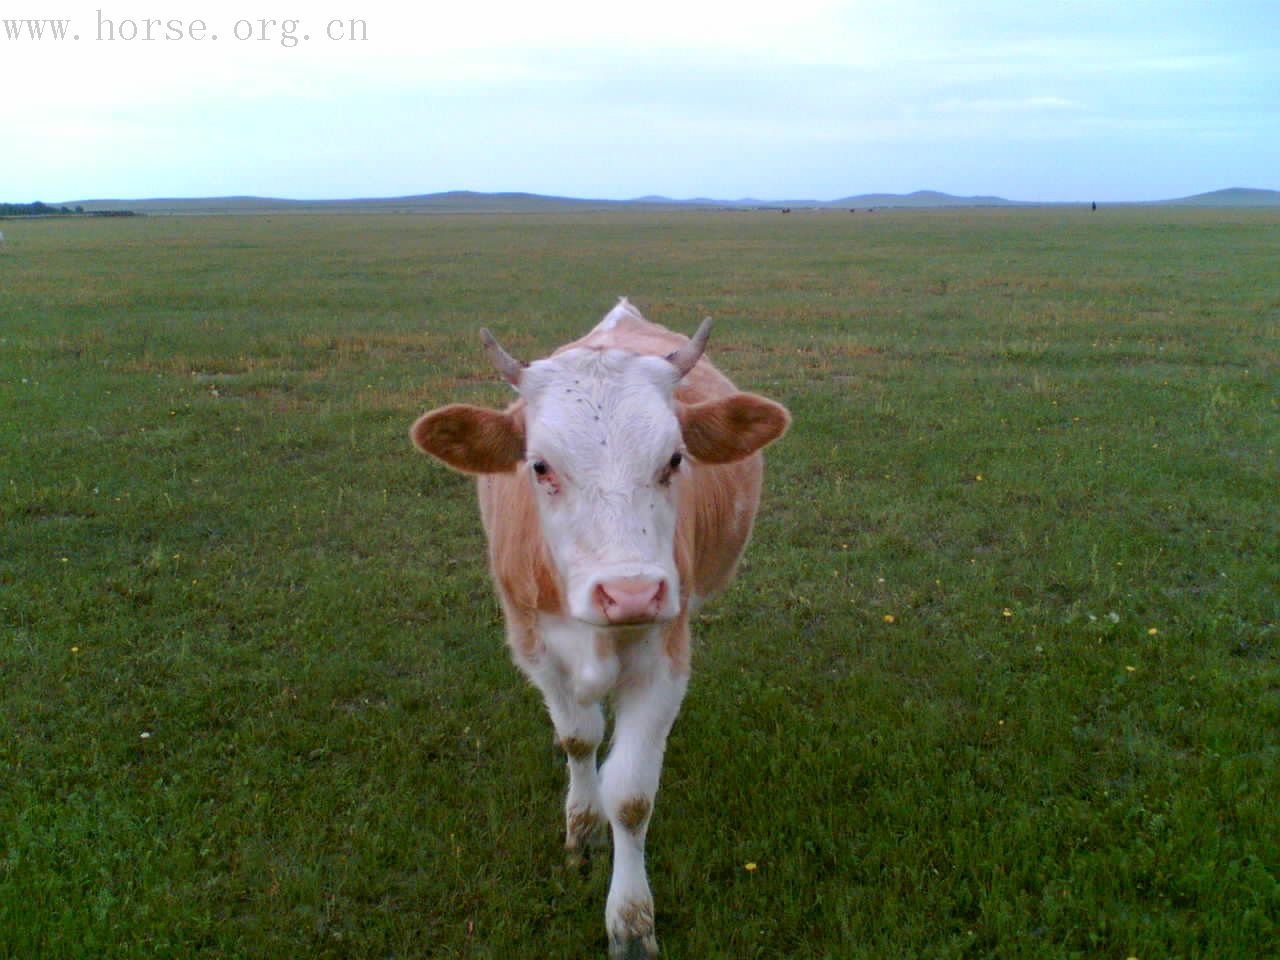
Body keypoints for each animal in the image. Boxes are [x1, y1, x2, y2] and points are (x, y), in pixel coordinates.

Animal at [409, 299, 788, 957]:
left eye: (674, 459)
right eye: (539, 466)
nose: (631, 591)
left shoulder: (665, 656)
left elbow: (632, 796)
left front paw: (631, 922)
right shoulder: (534, 647)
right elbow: (579, 739)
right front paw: (581, 830)